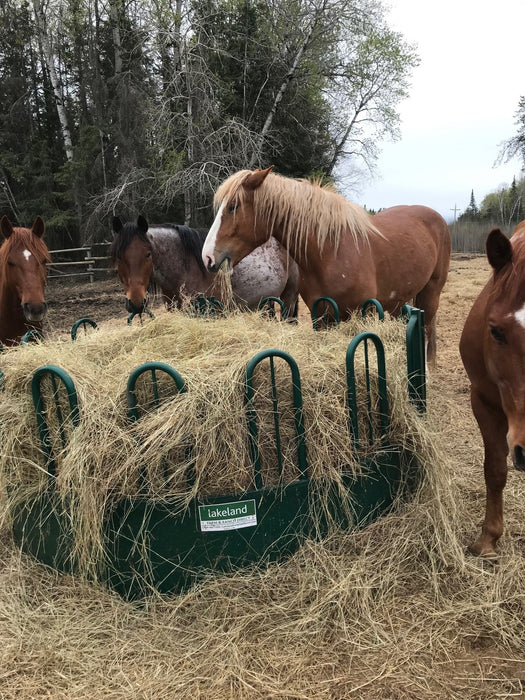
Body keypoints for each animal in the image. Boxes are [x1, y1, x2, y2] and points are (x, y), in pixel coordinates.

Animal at [201, 167, 451, 363]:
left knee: (427, 329)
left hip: (431, 293)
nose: (208, 258)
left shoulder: (364, 314)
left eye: (233, 206)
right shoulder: (321, 316)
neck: (331, 252)